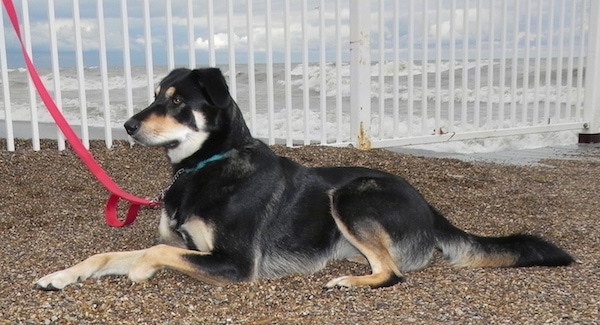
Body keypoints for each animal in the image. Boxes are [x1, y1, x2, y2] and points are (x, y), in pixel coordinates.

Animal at [35, 67, 576, 290]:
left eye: (176, 100)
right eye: (154, 96)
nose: (127, 126)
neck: (208, 162)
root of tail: (430, 207)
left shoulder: (235, 264)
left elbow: (153, 252)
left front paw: (141, 271)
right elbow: (110, 254)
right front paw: (61, 276)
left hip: (353, 195)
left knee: (393, 273)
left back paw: (349, 281)